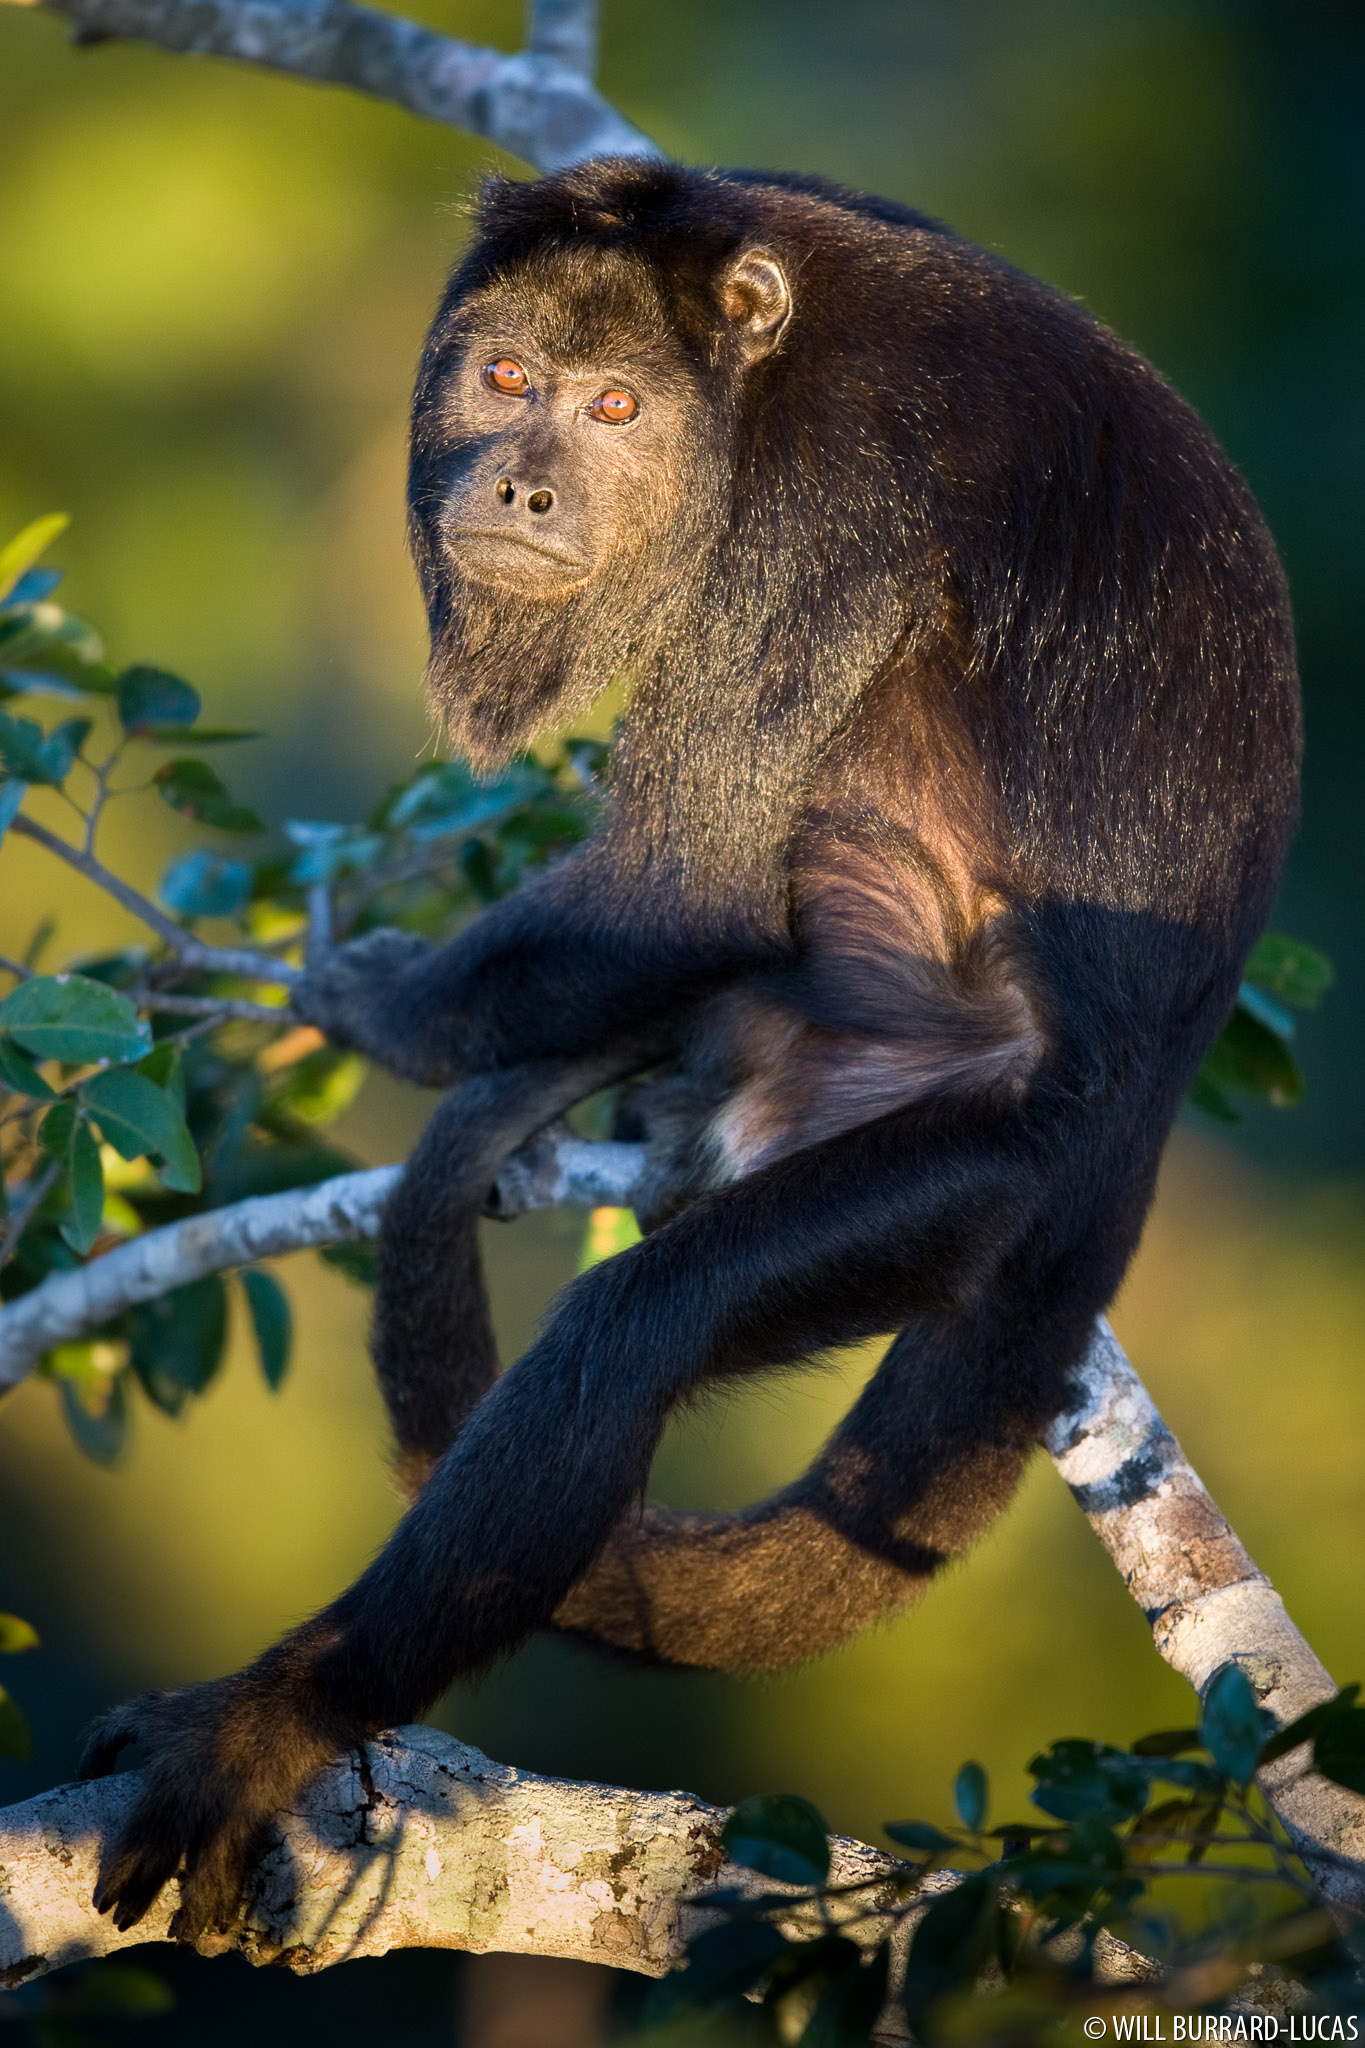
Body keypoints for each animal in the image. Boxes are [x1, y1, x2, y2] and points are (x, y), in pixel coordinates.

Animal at [80, 163, 1301, 1933]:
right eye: (505, 378)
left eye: (615, 409)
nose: (519, 484)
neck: (745, 379)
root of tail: (1134, 1133)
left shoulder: (824, 515)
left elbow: (693, 875)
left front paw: (376, 1005)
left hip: (984, 1168)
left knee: (635, 1328)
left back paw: (282, 1714)